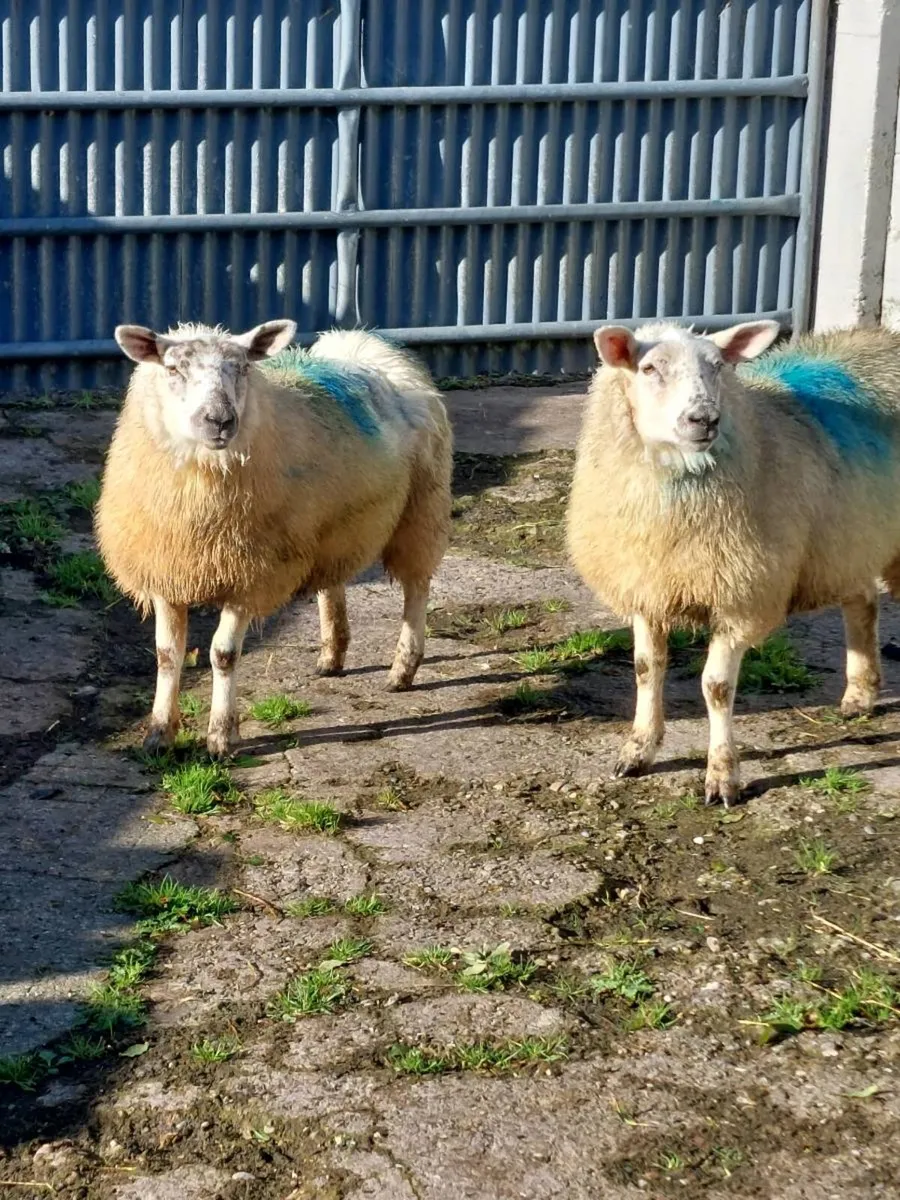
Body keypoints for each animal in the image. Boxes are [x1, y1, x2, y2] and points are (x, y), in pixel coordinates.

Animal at [96, 320, 453, 757]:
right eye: (173, 369)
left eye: (243, 368)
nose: (220, 420)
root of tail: (368, 344)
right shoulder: (166, 572)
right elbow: (166, 656)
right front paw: (159, 733)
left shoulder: (250, 577)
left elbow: (223, 654)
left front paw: (221, 736)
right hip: (331, 528)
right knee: (332, 583)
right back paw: (332, 655)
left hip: (422, 509)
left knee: (416, 588)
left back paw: (403, 669)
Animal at [566, 319, 900, 806]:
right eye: (649, 368)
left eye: (718, 366)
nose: (704, 419)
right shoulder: (647, 584)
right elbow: (647, 669)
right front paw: (638, 749)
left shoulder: (741, 595)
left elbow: (717, 687)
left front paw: (723, 774)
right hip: (848, 538)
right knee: (862, 601)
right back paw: (860, 693)